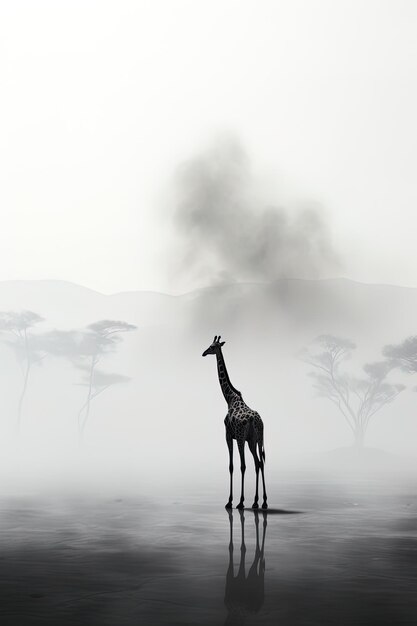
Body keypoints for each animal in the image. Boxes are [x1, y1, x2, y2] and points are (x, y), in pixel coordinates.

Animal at [202, 336, 266, 508]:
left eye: (212, 346)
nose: (203, 353)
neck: (229, 398)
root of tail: (255, 420)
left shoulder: (228, 435)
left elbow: (231, 466)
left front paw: (230, 501)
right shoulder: (242, 438)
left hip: (243, 439)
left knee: (245, 465)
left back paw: (242, 502)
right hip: (256, 440)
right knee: (259, 463)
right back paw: (260, 502)